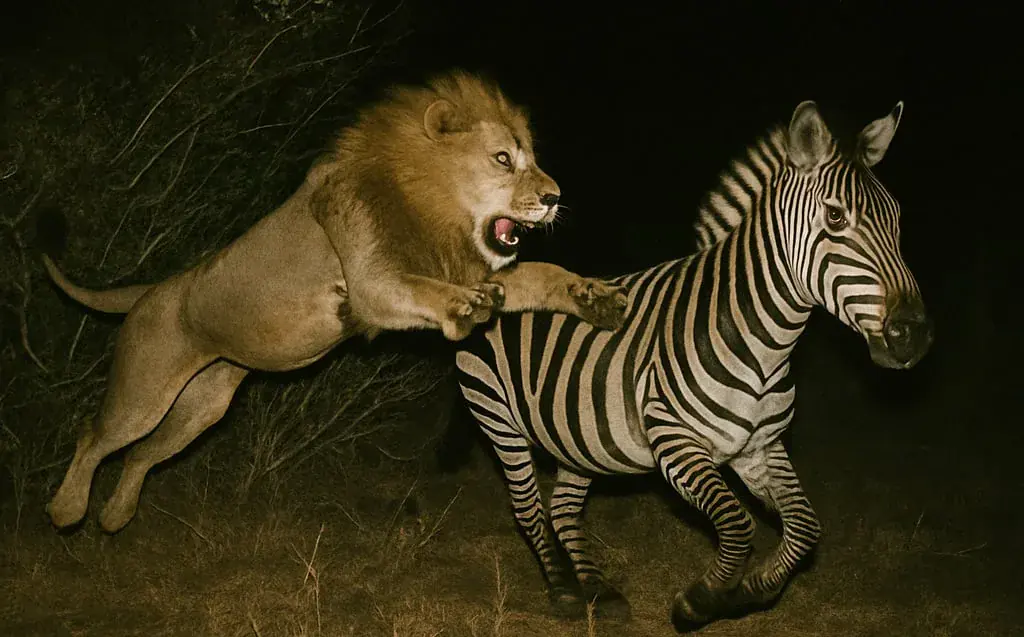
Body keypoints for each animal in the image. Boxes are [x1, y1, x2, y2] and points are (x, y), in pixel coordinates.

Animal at [42, 70, 628, 534]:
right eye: (503, 159)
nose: (554, 197)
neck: (433, 206)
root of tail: (151, 291)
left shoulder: (475, 262)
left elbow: (545, 274)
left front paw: (596, 297)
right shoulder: (372, 282)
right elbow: (422, 289)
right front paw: (466, 306)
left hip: (202, 406)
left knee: (142, 455)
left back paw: (114, 517)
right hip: (144, 392)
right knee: (95, 436)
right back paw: (67, 511)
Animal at [454, 100, 932, 632]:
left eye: (897, 218)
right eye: (835, 217)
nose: (913, 336)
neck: (766, 346)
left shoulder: (760, 446)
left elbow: (805, 527)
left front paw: (755, 590)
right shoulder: (675, 442)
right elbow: (738, 525)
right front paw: (700, 601)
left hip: (574, 437)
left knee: (563, 509)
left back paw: (599, 591)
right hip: (497, 418)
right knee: (529, 511)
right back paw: (562, 592)